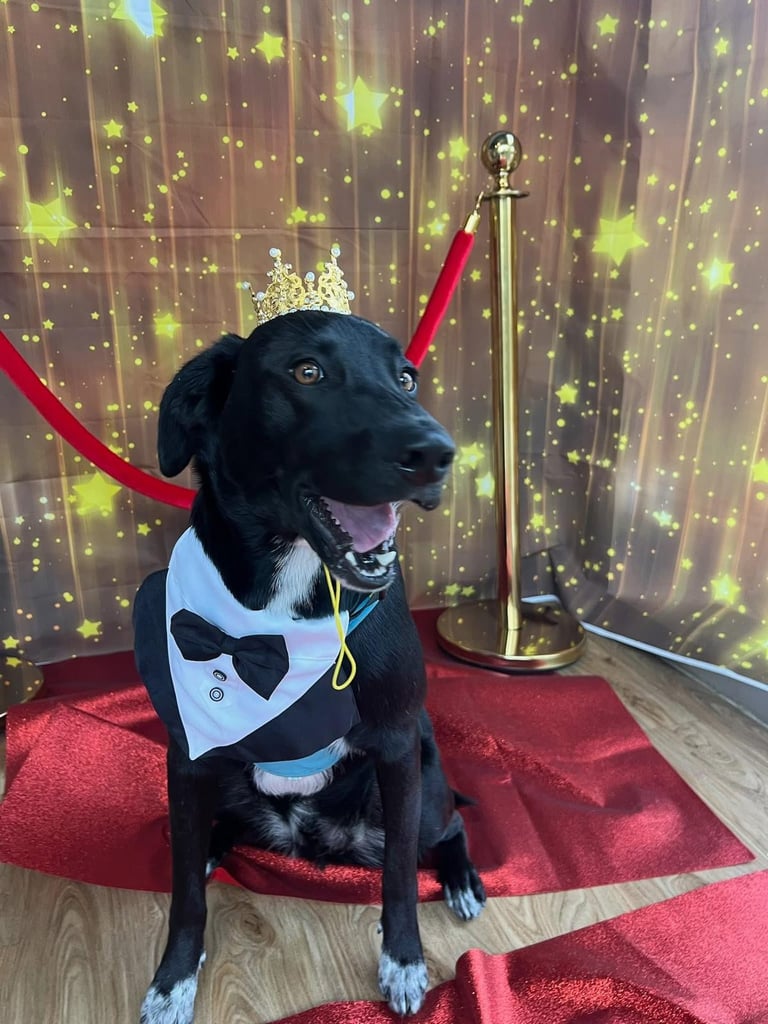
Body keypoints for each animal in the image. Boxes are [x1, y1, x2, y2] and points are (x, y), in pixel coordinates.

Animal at [133, 308, 486, 1023]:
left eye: (406, 378)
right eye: (307, 371)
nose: (437, 453)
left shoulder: (397, 746)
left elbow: (400, 876)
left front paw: (403, 963)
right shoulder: (186, 757)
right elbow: (185, 894)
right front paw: (173, 980)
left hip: (420, 793)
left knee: (449, 826)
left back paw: (461, 880)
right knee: (213, 832)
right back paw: (212, 846)